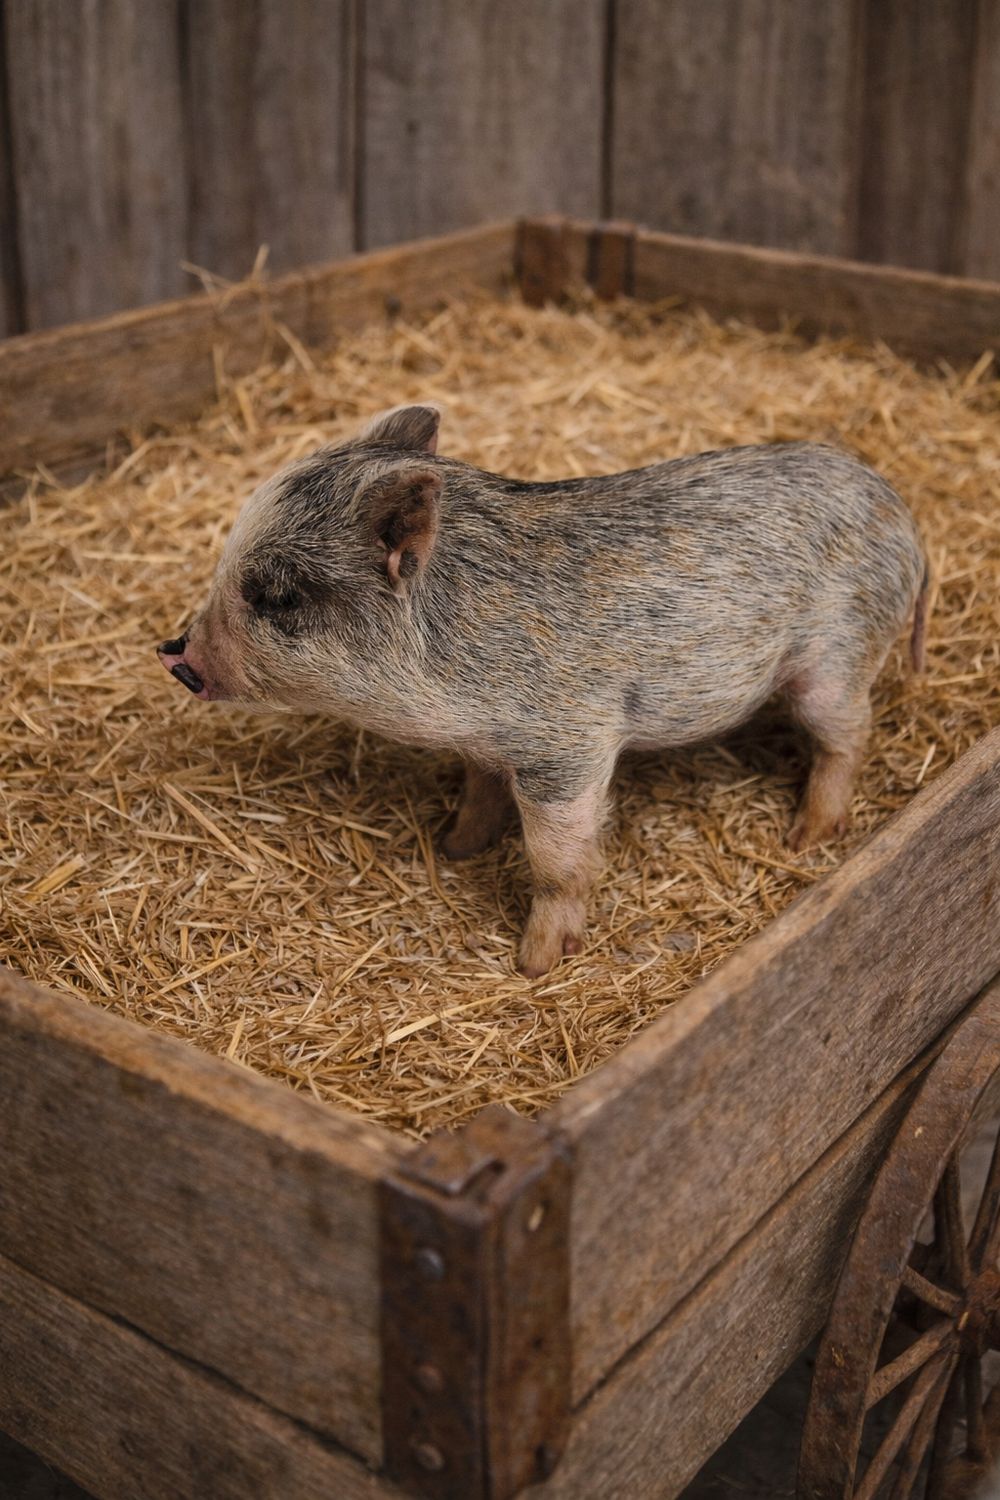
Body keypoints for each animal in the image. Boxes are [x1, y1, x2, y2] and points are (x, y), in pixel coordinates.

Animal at [158, 404, 928, 977]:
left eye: (280, 597)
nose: (175, 656)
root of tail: (901, 512)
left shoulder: (567, 745)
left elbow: (558, 861)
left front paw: (533, 966)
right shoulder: (485, 744)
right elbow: (478, 795)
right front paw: (452, 848)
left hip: (836, 658)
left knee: (849, 735)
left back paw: (806, 838)